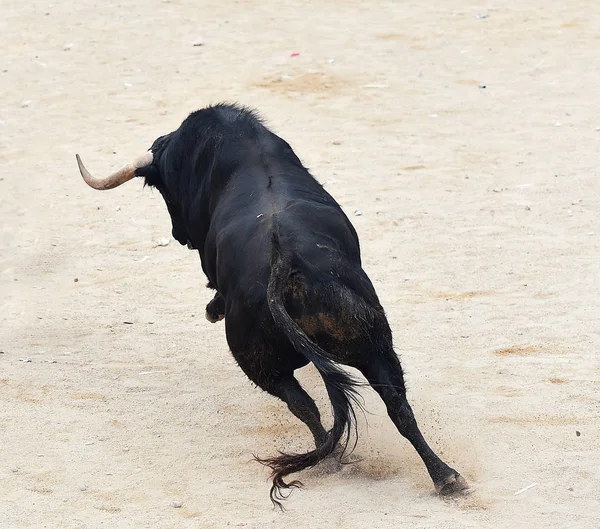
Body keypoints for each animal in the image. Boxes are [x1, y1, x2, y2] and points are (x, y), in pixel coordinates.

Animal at [76, 102, 468, 504]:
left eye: (167, 190)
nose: (179, 234)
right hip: (372, 344)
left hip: (266, 363)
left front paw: (212, 307)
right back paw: (444, 476)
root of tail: (285, 263)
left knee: (309, 406)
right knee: (394, 405)